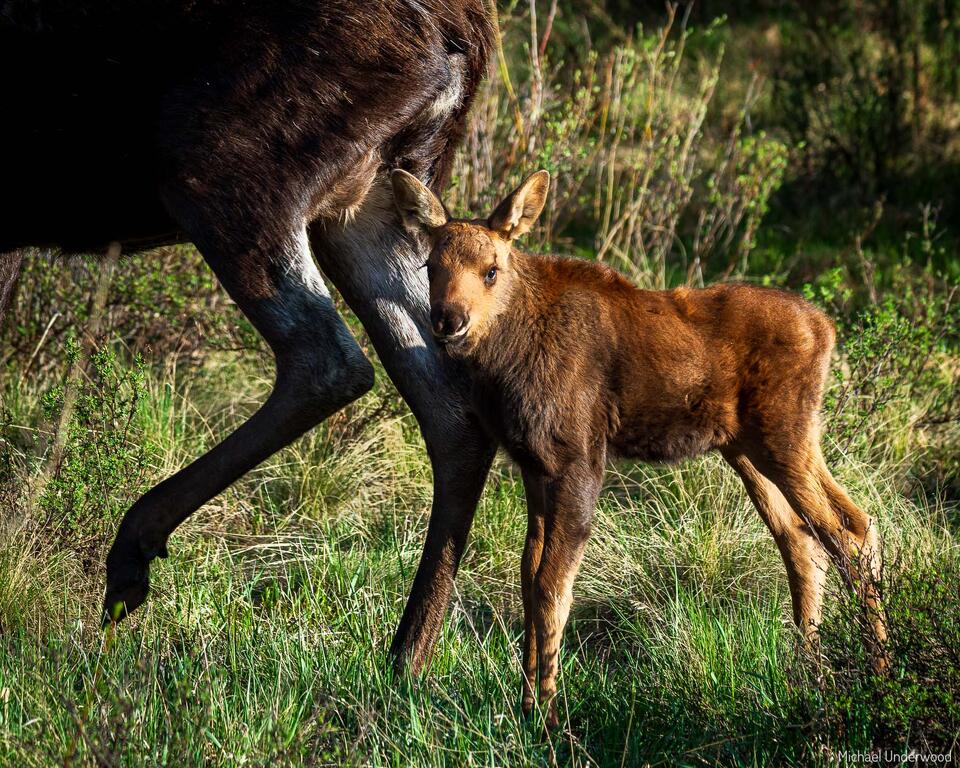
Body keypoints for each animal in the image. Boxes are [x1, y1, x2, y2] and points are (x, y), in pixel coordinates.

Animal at [0, 0, 498, 675]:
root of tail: (466, 31)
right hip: (374, 195)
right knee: (446, 404)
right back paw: (409, 653)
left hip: (221, 156)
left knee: (330, 358)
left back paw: (134, 545)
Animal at [390, 168, 890, 729]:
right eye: (431, 266)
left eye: (492, 270)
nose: (448, 320)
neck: (504, 366)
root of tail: (828, 329)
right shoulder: (533, 466)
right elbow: (527, 578)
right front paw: (526, 705)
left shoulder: (580, 460)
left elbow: (551, 587)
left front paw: (549, 717)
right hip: (750, 448)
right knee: (807, 540)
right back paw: (813, 676)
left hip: (785, 435)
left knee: (848, 534)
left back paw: (879, 673)